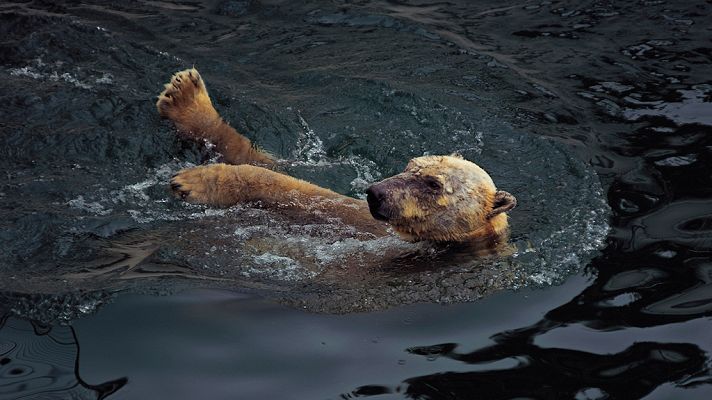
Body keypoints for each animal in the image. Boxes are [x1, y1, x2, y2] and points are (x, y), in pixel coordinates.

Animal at [157, 68, 516, 252]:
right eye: (409, 165)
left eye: (432, 184)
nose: (376, 192)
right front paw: (184, 96)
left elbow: (297, 193)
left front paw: (194, 181)